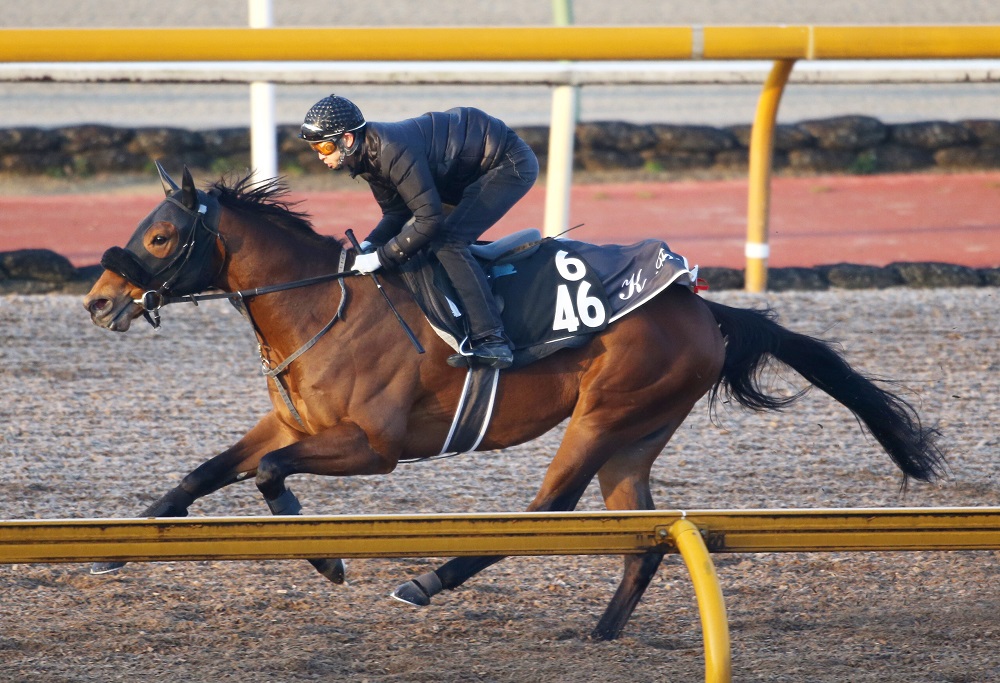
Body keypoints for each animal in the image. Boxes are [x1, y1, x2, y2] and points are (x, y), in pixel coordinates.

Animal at [80, 167, 944, 640]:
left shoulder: (373, 446)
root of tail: (703, 305)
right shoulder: (292, 420)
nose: (98, 300)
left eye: (160, 237)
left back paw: (427, 581)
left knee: (547, 508)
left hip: (603, 415)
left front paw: (325, 552)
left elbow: (268, 477)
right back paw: (600, 633)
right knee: (643, 537)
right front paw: (123, 543)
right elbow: (203, 471)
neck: (320, 301)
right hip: (635, 433)